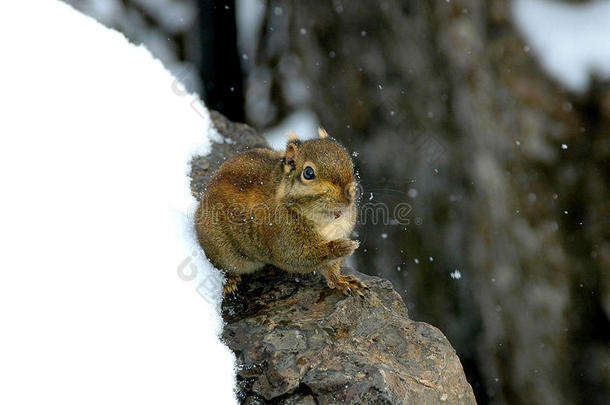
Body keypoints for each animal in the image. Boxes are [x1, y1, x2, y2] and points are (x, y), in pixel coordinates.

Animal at [195, 129, 366, 296]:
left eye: (351, 165)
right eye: (308, 173)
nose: (347, 197)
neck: (325, 219)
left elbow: (332, 267)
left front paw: (341, 281)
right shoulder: (284, 237)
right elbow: (299, 258)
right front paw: (342, 247)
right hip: (221, 248)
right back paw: (229, 281)